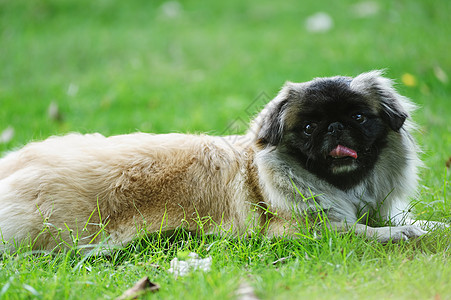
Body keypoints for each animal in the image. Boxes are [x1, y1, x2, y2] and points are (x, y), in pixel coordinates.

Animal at [0, 70, 442, 251]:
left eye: (358, 117)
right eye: (309, 126)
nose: (334, 127)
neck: (345, 187)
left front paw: (430, 227)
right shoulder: (300, 231)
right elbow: (361, 232)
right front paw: (400, 235)